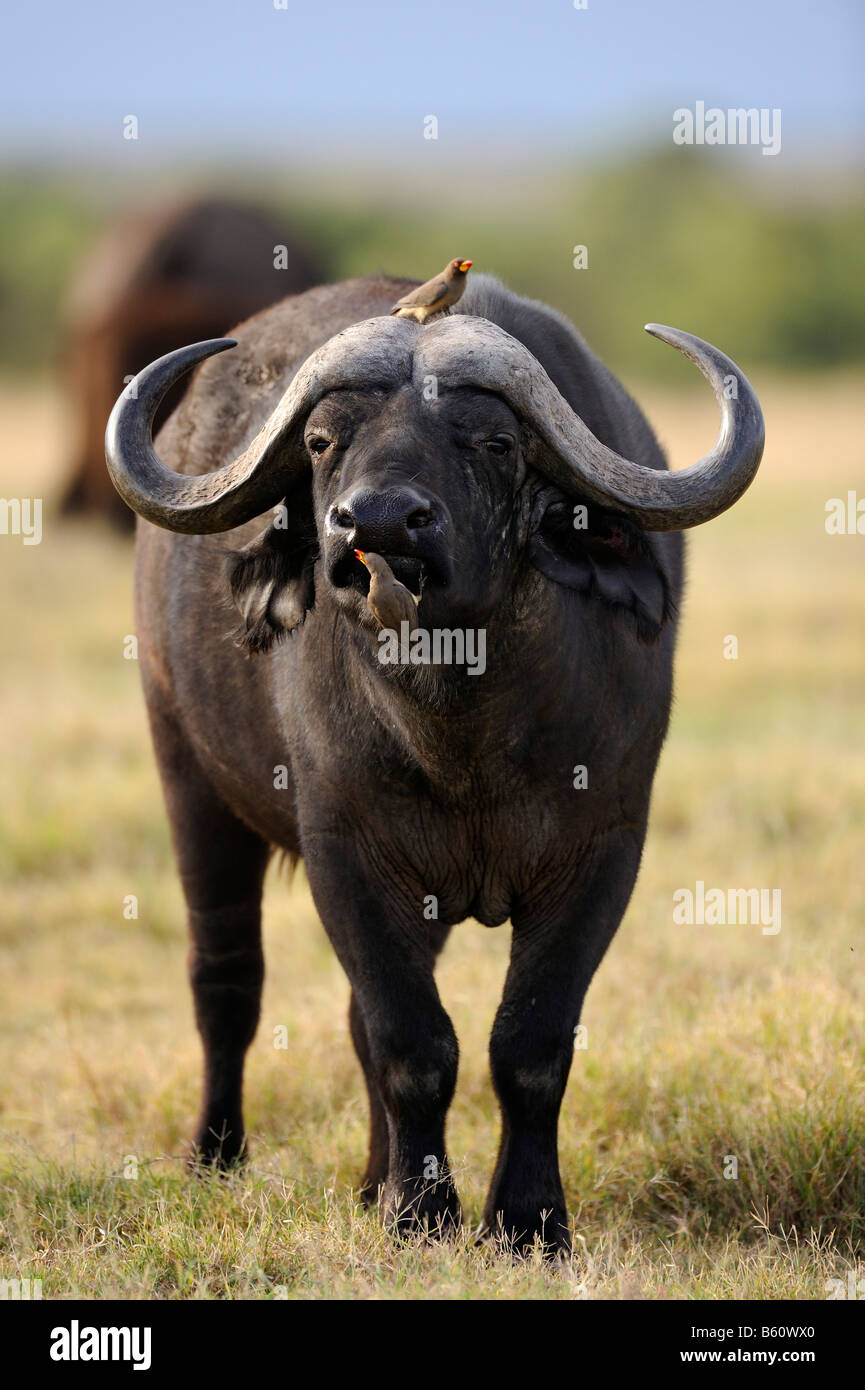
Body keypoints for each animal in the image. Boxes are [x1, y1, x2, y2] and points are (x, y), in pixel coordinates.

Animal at [104, 276, 762, 1256]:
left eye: (493, 443)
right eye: (321, 441)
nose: (376, 523)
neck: (464, 737)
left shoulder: (605, 851)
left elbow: (528, 1044)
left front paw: (526, 1221)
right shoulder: (346, 853)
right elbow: (412, 1043)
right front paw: (421, 1214)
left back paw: (370, 1179)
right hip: (186, 773)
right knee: (225, 980)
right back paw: (217, 1156)